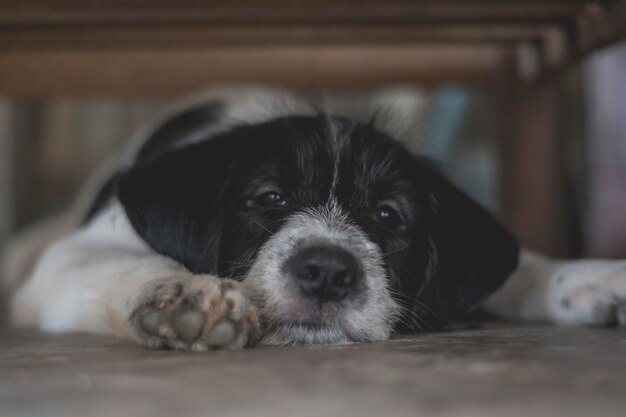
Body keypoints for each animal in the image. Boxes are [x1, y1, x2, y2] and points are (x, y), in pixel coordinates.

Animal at [3, 89, 624, 350]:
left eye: (387, 215)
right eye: (270, 198)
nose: (326, 273)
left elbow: (525, 268)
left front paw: (592, 278)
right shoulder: (72, 255)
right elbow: (129, 263)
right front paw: (185, 295)